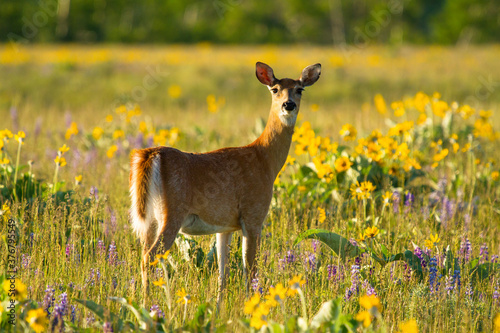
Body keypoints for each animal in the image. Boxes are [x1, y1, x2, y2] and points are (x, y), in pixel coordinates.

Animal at [130, 61, 320, 308]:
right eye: (275, 89)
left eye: (300, 89)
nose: (288, 105)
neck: (265, 159)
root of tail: (151, 155)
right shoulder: (253, 215)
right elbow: (250, 268)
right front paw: (251, 303)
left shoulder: (225, 226)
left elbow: (223, 272)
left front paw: (219, 307)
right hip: (171, 213)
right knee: (149, 257)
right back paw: (147, 306)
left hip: (148, 219)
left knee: (143, 253)